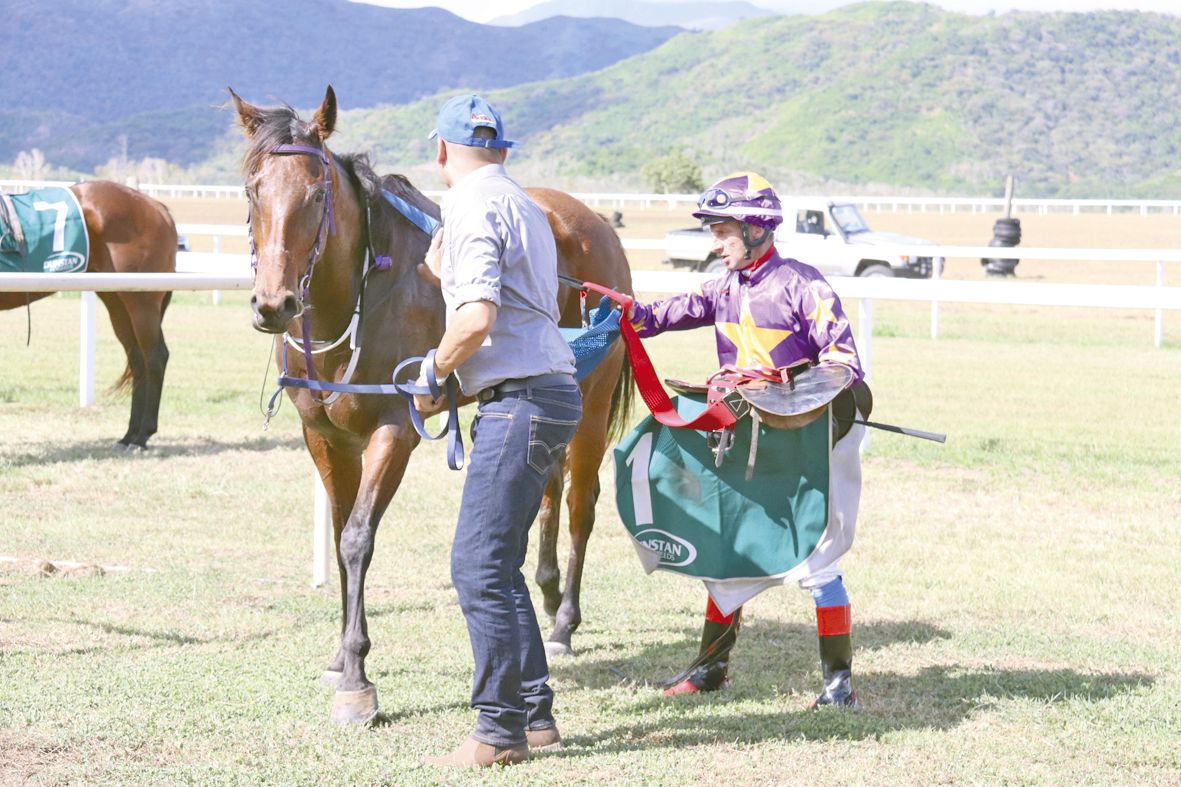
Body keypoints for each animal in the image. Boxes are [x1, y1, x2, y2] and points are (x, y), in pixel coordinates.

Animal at [0, 179, 173, 446]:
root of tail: (157, 207)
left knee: (154, 357)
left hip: (142, 302)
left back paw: (142, 435)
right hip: (117, 302)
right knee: (137, 359)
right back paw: (129, 435)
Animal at [232, 87, 637, 723]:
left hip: (592, 407)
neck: (361, 297)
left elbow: (357, 539)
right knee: (548, 489)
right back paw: (546, 591)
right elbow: (341, 533)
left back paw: (564, 622)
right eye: (253, 190)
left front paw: (358, 678)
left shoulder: (394, 430)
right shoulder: (322, 434)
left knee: (581, 505)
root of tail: (592, 222)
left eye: (317, 193)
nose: (274, 304)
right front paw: (340, 658)